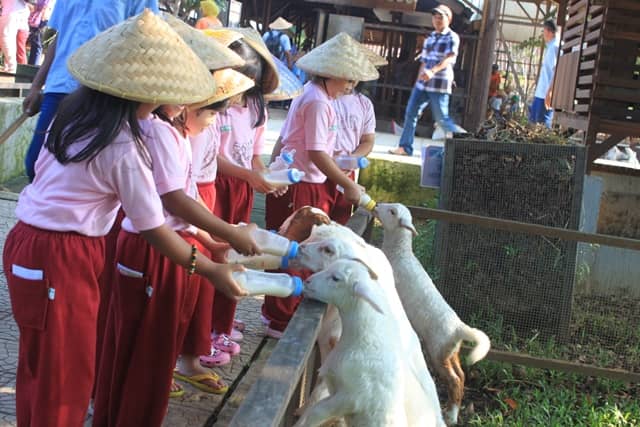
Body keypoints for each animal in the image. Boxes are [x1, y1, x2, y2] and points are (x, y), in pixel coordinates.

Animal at [376, 203, 490, 424]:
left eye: (393, 212)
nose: (376, 206)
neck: (400, 252)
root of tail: (458, 328)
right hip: (449, 351)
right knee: (461, 375)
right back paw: (453, 409)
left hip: (438, 352)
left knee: (454, 380)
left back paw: (452, 416)